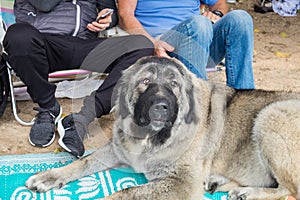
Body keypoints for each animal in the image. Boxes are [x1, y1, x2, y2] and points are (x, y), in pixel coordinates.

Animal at [26, 55, 300, 198]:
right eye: (146, 81)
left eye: (174, 85)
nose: (161, 106)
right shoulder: (117, 149)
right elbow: (83, 162)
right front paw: (50, 176)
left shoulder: (181, 184)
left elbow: (125, 192)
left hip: (270, 115)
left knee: (290, 190)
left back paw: (249, 192)